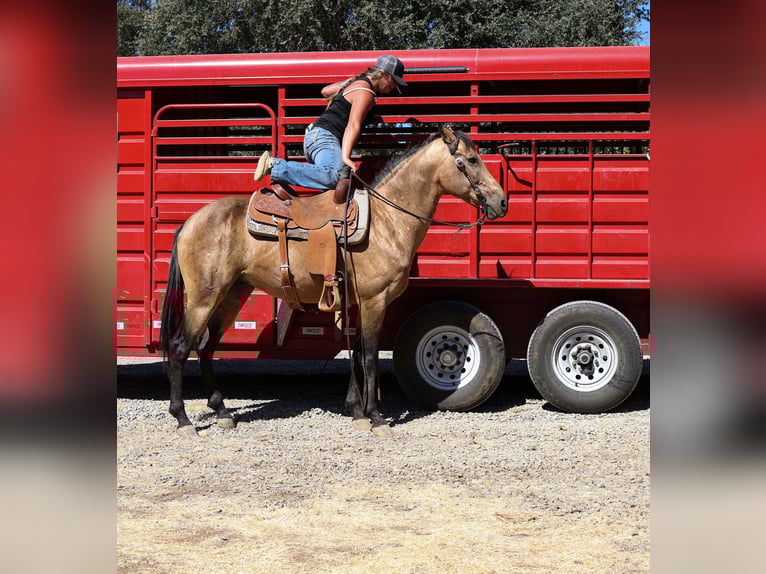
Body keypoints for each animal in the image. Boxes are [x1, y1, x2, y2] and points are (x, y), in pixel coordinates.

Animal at [159, 125, 508, 438]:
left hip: (231, 296)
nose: (502, 201)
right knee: (180, 346)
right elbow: (369, 357)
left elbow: (355, 352)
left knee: (205, 348)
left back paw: (221, 411)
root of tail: (190, 221)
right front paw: (375, 417)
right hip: (203, 298)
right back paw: (183, 419)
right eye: (471, 159)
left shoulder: (357, 303)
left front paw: (356, 411)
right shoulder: (374, 301)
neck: (387, 221)